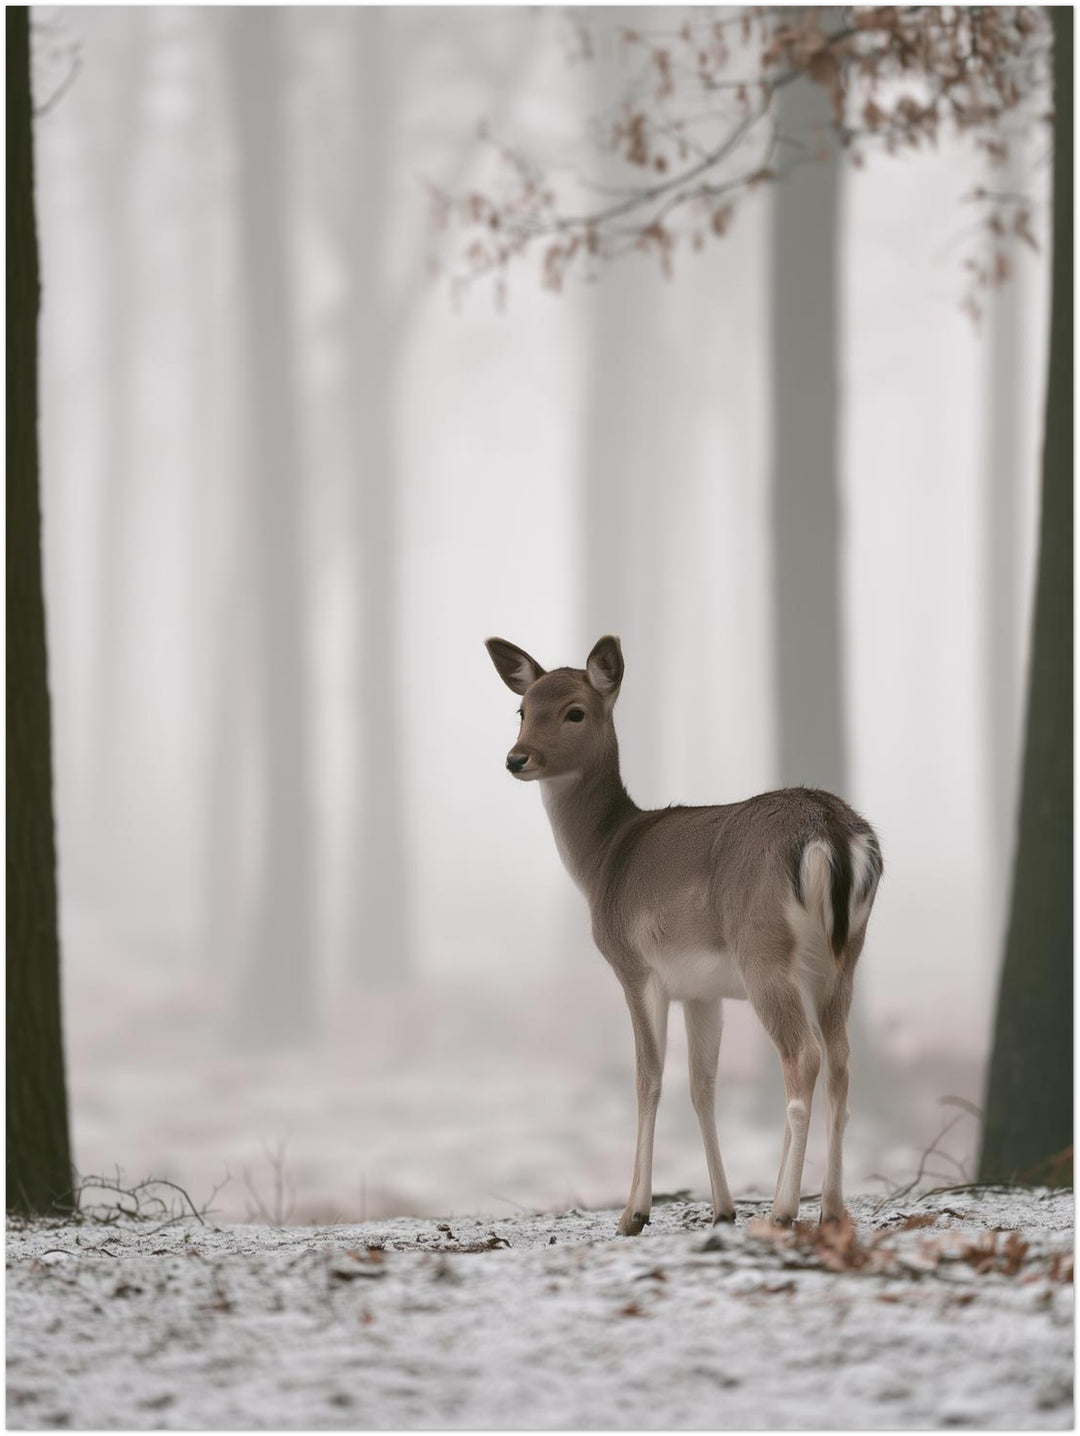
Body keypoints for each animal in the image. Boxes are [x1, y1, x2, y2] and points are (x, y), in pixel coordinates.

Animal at [485, 633, 883, 1236]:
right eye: (523, 709)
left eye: (575, 711)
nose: (516, 758)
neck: (604, 859)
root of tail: (832, 831)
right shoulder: (701, 989)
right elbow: (702, 1085)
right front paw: (722, 1208)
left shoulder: (636, 966)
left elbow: (648, 1079)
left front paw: (633, 1213)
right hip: (844, 958)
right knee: (840, 1063)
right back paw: (832, 1211)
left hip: (764, 952)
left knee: (804, 1058)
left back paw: (784, 1208)